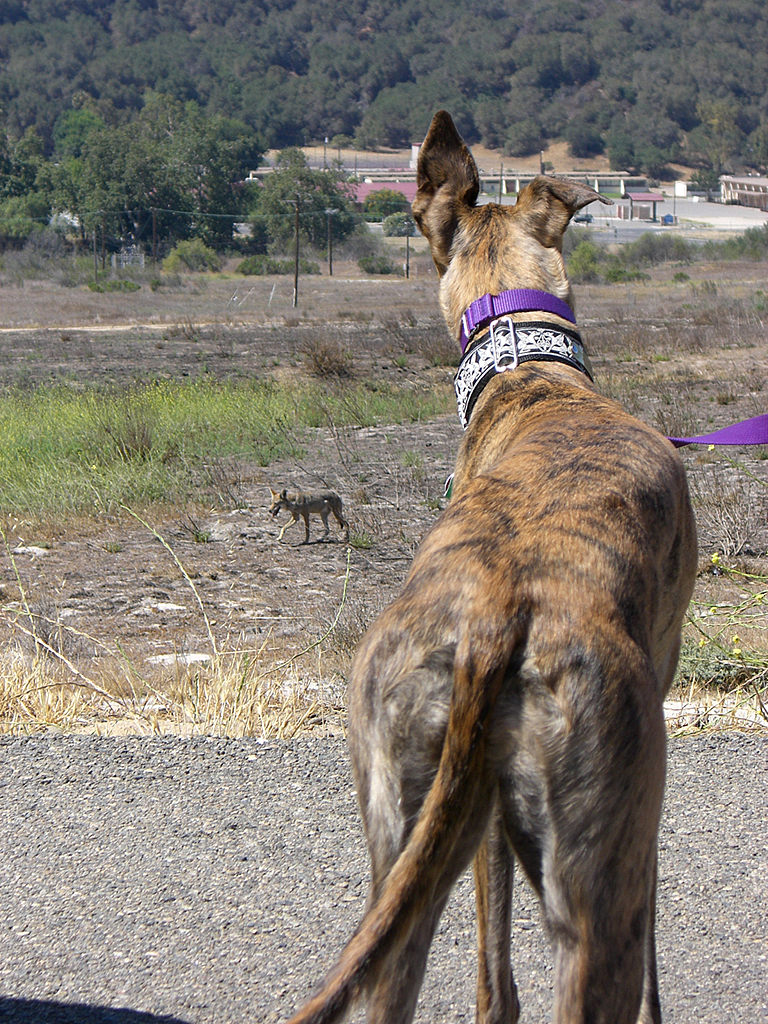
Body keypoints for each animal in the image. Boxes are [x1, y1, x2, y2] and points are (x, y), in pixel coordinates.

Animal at [286, 112, 700, 1024]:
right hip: (597, 876)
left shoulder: (473, 828)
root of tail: (492, 618)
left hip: (408, 826)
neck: (531, 375)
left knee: (433, 982)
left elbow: (492, 975)